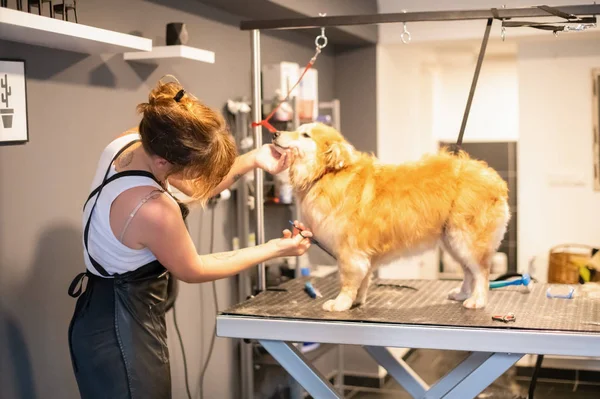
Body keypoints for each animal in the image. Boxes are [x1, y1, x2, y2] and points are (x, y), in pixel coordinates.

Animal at [274, 122, 508, 312]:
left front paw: (341, 303)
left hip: (467, 238)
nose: (275, 133)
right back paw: (462, 294)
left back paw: (477, 300)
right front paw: (357, 301)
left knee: (482, 272)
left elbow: (348, 281)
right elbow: (364, 279)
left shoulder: (350, 251)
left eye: (305, 135)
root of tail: (494, 180)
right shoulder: (363, 254)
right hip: (452, 240)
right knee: (469, 271)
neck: (326, 174)